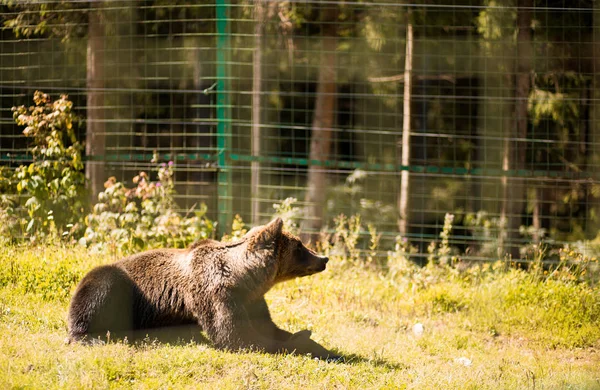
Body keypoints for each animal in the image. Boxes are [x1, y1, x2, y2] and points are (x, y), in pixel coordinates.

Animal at [68, 218, 340, 358]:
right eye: (300, 247)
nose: (324, 258)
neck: (245, 278)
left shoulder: (252, 300)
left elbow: (268, 327)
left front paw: (322, 347)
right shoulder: (214, 293)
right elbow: (235, 335)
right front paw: (301, 338)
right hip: (116, 285)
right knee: (99, 289)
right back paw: (88, 337)